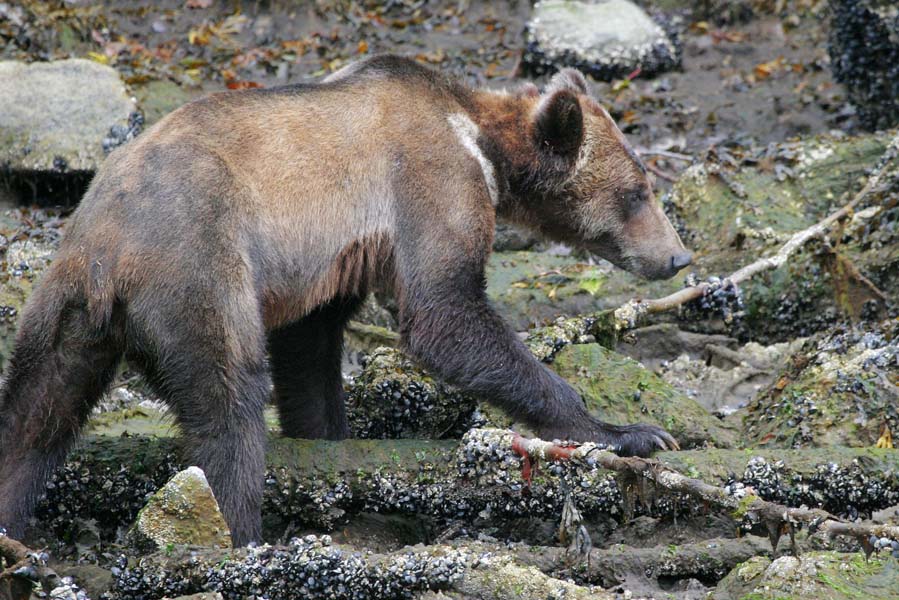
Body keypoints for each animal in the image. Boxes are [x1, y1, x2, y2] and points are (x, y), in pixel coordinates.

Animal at [0, 55, 692, 544]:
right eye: (637, 190)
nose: (678, 257)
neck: (482, 146)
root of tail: (104, 253)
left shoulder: (335, 254)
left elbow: (310, 345)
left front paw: (327, 442)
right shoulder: (425, 182)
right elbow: (445, 313)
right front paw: (630, 432)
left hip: (62, 315)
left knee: (34, 415)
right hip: (198, 267)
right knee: (228, 404)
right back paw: (240, 535)